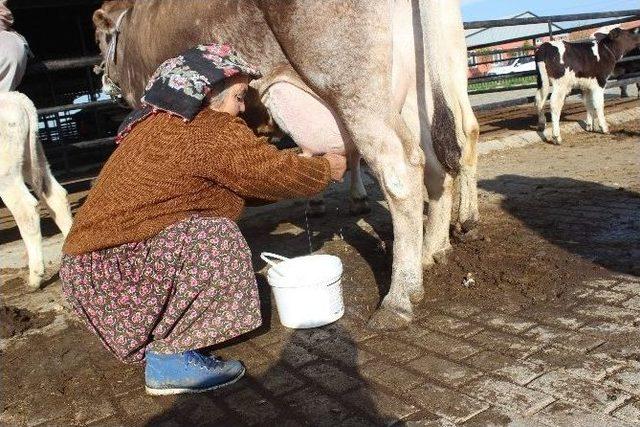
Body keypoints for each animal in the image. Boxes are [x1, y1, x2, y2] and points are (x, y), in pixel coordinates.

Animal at [0, 92, 74, 290]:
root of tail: (15, 97)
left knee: (26, 210)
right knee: (56, 197)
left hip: (6, 172)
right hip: (32, 158)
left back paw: (35, 277)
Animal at [92, 0, 478, 332]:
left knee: (400, 167)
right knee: (438, 161)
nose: (103, 79)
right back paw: (430, 252)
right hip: (418, 92)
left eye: (98, 39)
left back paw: (400, 297)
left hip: (354, 86)